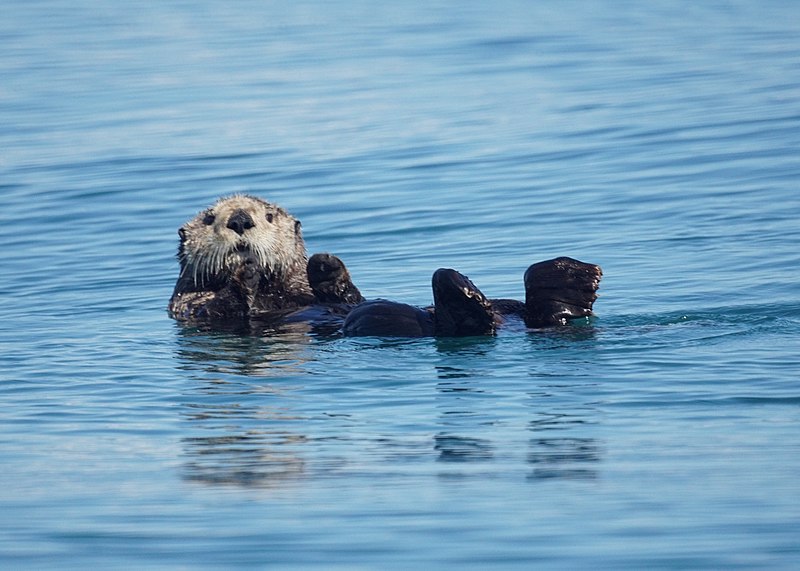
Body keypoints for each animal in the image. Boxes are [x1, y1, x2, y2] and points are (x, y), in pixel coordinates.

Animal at [172, 196, 366, 322]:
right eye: (209, 218)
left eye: (269, 216)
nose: (239, 220)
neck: (267, 290)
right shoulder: (187, 305)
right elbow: (213, 311)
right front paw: (245, 275)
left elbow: (353, 298)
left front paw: (326, 269)